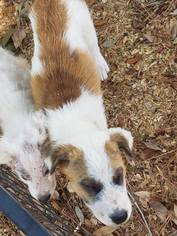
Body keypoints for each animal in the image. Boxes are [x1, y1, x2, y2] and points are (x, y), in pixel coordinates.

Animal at [29, 0, 133, 226]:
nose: (121, 217)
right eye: (88, 185)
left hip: (87, 23)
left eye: (119, 175)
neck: (76, 124)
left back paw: (100, 64)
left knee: (94, 45)